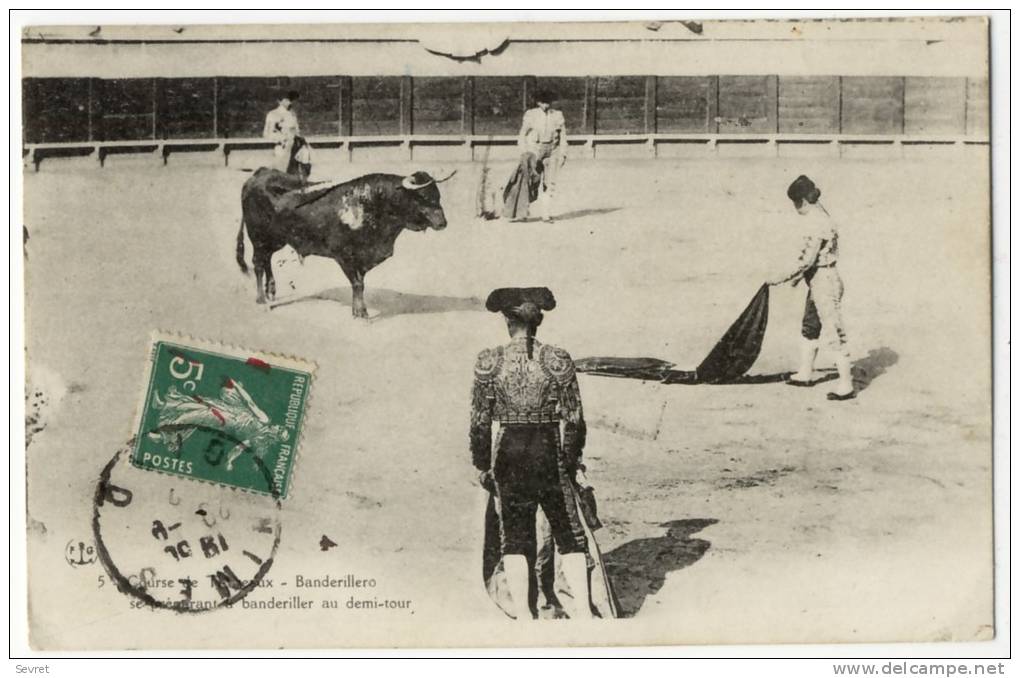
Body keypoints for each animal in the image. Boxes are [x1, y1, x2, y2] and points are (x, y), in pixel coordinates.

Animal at [236, 168, 452, 318]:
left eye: (438, 196)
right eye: (423, 197)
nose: (443, 223)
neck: (373, 204)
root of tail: (258, 174)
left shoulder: (365, 257)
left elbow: (361, 283)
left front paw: (359, 309)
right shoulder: (344, 255)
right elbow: (357, 283)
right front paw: (360, 313)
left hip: (275, 240)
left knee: (267, 260)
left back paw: (271, 291)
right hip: (258, 237)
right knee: (257, 264)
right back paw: (261, 299)